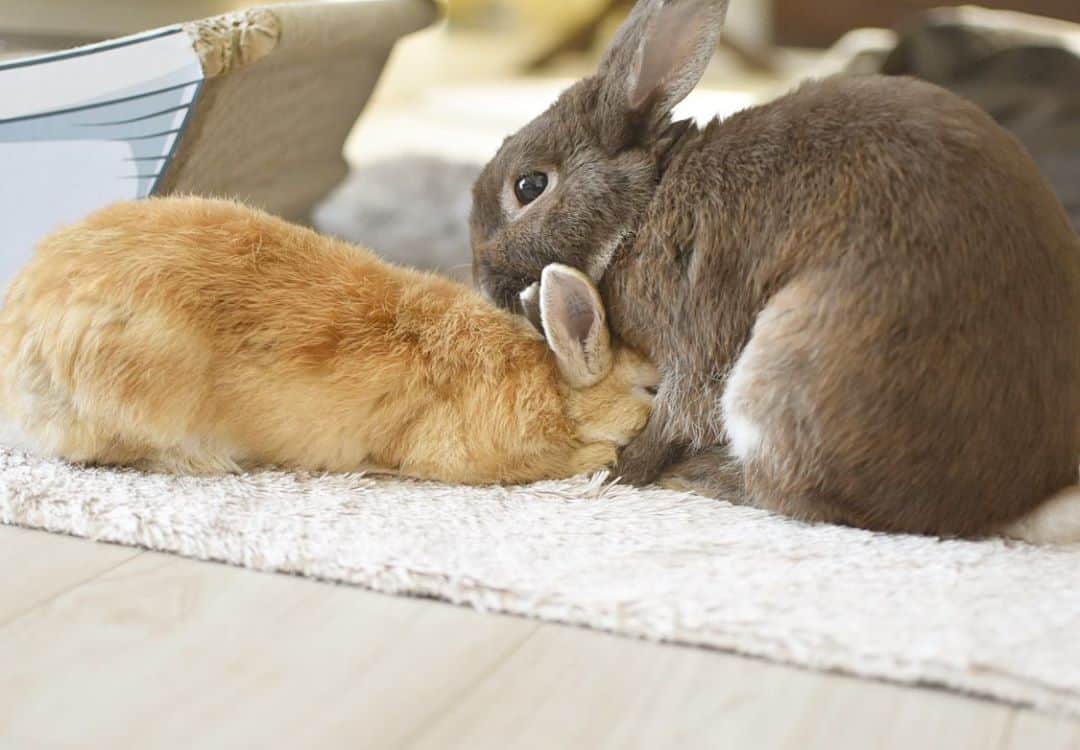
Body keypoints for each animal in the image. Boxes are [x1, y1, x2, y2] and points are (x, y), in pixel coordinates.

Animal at [470, 0, 1080, 540]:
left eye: (529, 186)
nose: (482, 282)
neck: (643, 207)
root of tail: (996, 500)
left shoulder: (695, 331)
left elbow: (676, 413)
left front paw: (619, 473)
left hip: (776, 379)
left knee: (787, 492)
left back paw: (698, 475)